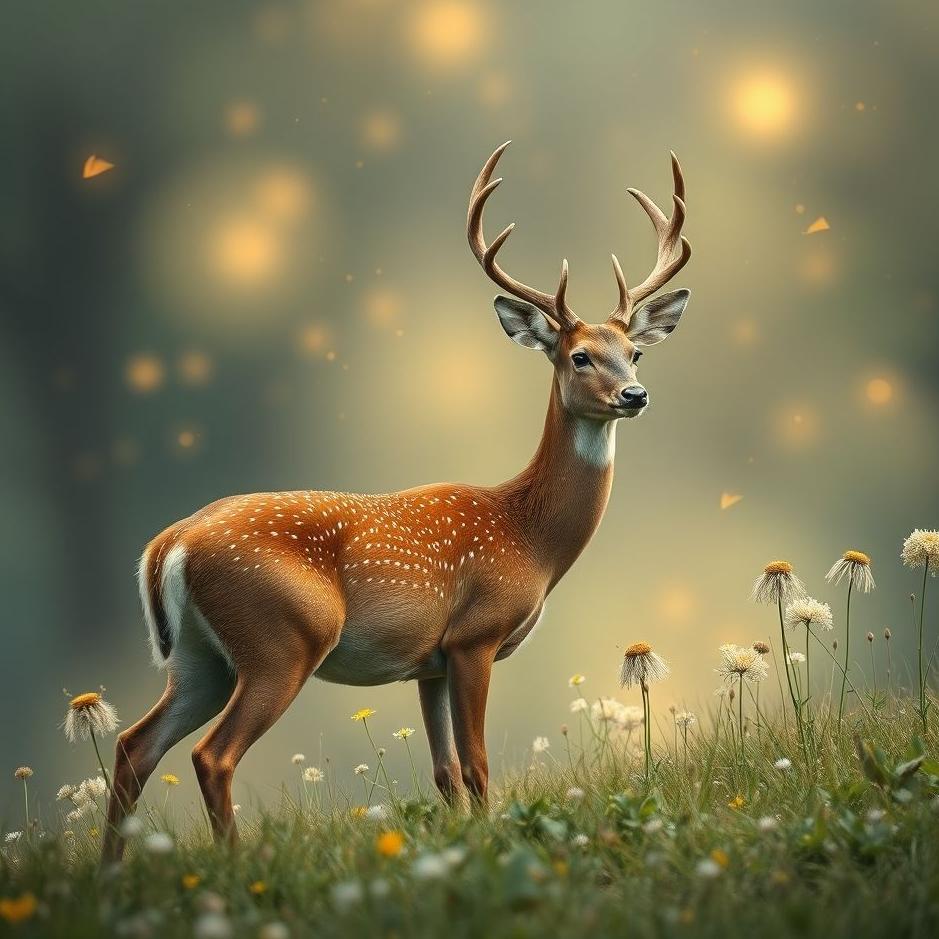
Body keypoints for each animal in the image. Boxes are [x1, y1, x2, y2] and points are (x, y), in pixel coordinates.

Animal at [102, 141, 691, 862]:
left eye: (634, 352)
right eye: (579, 356)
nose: (634, 395)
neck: (528, 535)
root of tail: (168, 545)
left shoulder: (426, 662)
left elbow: (444, 771)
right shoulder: (473, 635)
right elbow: (476, 763)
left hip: (198, 658)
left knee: (134, 746)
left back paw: (113, 871)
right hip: (281, 639)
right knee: (211, 756)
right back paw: (235, 861)